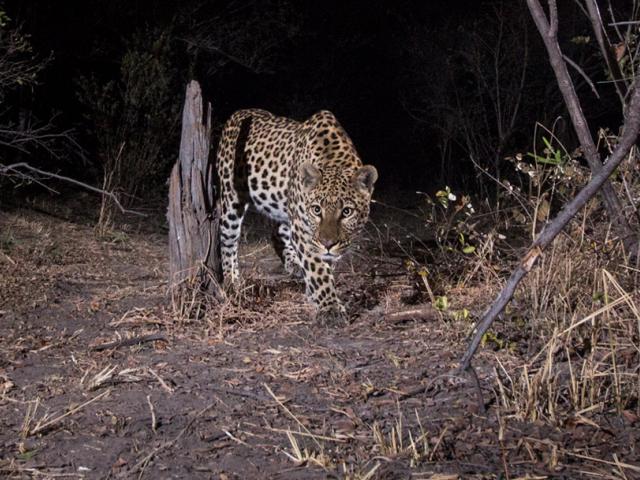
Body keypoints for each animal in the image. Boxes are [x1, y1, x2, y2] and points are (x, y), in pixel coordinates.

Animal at [216, 108, 378, 326]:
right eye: (316, 210)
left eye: (347, 212)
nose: (328, 244)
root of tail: (239, 112)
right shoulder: (305, 232)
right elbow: (319, 271)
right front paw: (331, 309)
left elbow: (323, 267)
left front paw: (317, 295)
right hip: (231, 197)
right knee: (227, 240)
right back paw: (232, 282)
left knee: (277, 232)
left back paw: (293, 263)